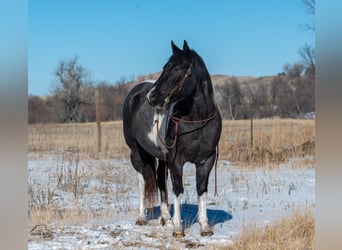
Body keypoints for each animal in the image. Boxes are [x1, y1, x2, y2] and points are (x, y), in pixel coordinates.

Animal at [123, 40, 222, 237]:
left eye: (177, 68)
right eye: (165, 67)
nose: (152, 96)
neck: (198, 120)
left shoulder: (206, 160)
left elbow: (202, 189)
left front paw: (205, 226)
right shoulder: (177, 161)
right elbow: (178, 189)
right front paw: (178, 228)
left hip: (162, 157)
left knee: (161, 180)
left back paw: (164, 217)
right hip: (137, 151)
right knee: (142, 181)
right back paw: (142, 217)